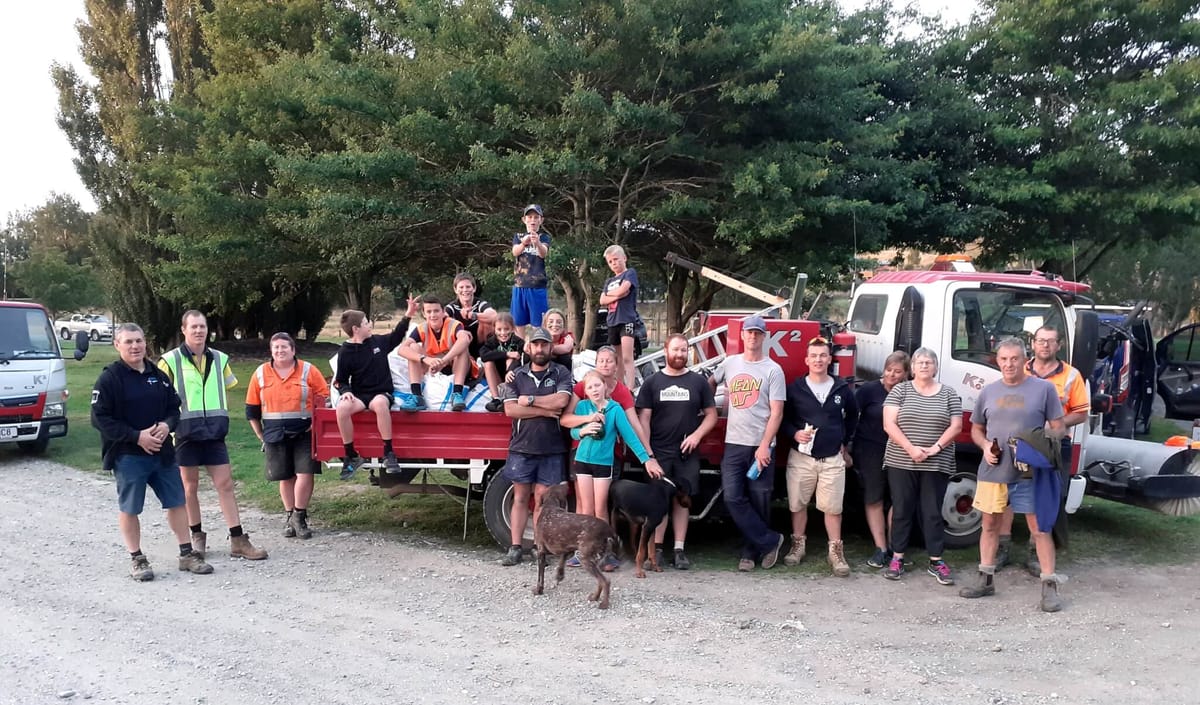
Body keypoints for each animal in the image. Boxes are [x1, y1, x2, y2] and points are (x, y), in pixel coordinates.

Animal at [535, 481, 619, 609]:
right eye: (560, 487)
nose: (566, 482)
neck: (550, 506)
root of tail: (608, 530)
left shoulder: (541, 551)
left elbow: (540, 577)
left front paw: (538, 590)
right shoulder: (567, 548)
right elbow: (561, 563)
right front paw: (559, 576)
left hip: (585, 558)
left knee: (605, 581)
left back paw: (604, 604)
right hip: (595, 559)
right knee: (600, 581)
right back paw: (595, 597)